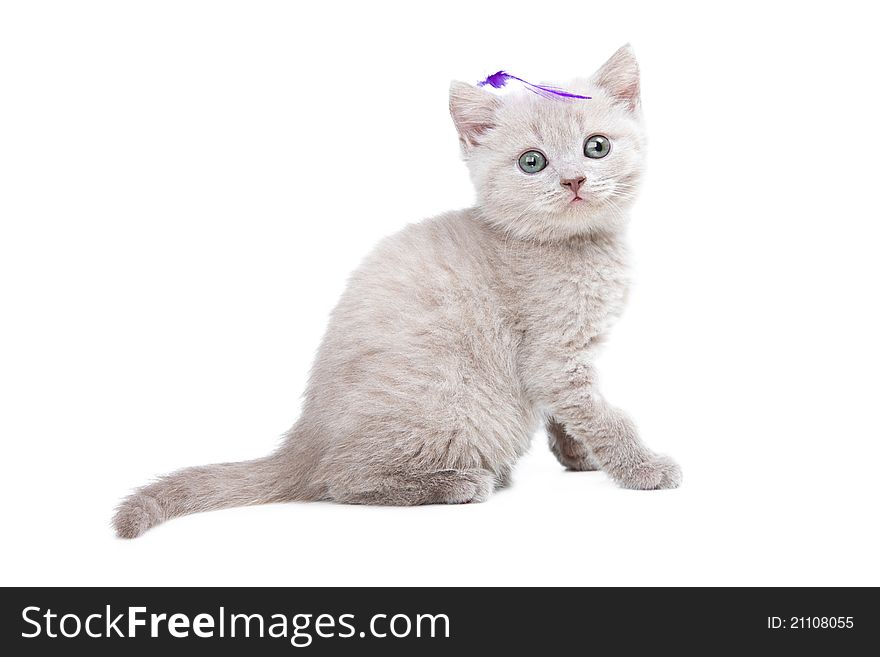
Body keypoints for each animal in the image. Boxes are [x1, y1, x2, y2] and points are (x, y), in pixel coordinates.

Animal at [113, 46, 680, 540]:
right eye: (532, 162)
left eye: (596, 146)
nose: (574, 180)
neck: (575, 247)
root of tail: (304, 443)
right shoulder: (552, 356)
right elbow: (603, 416)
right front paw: (644, 468)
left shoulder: (567, 361)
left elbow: (569, 414)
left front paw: (579, 457)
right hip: (457, 411)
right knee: (345, 482)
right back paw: (459, 482)